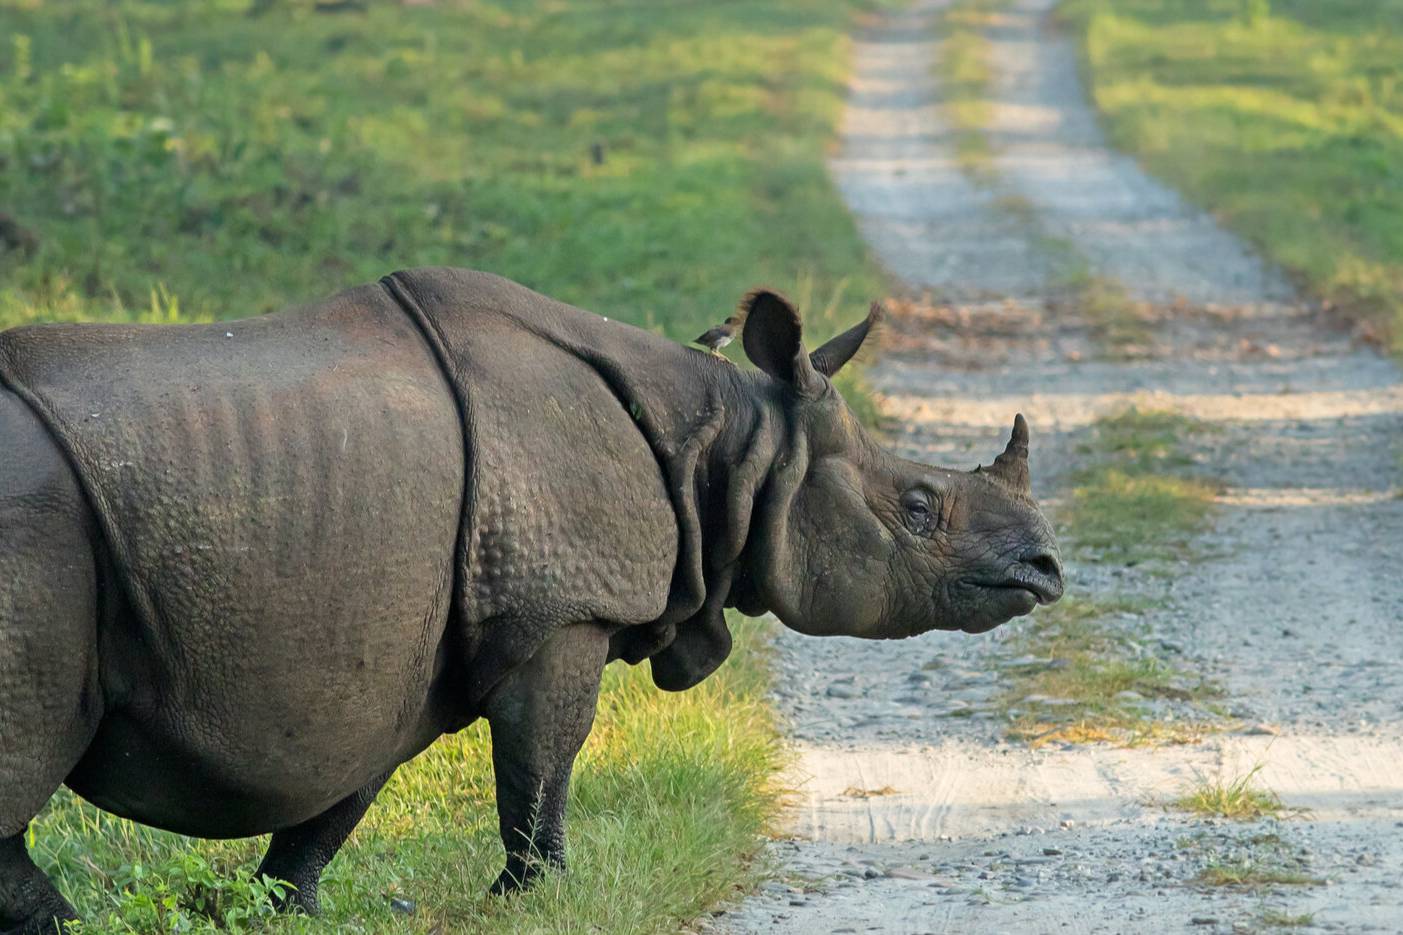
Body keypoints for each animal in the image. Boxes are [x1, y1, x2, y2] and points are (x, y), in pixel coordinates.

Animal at [0, 268, 1061, 932]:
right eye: (918, 507)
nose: (1046, 569)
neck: (733, 443)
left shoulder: (392, 649)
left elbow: (337, 800)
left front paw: (282, 911)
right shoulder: (561, 611)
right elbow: (544, 757)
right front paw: (534, 898)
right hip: (33, 530)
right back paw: (73, 926)